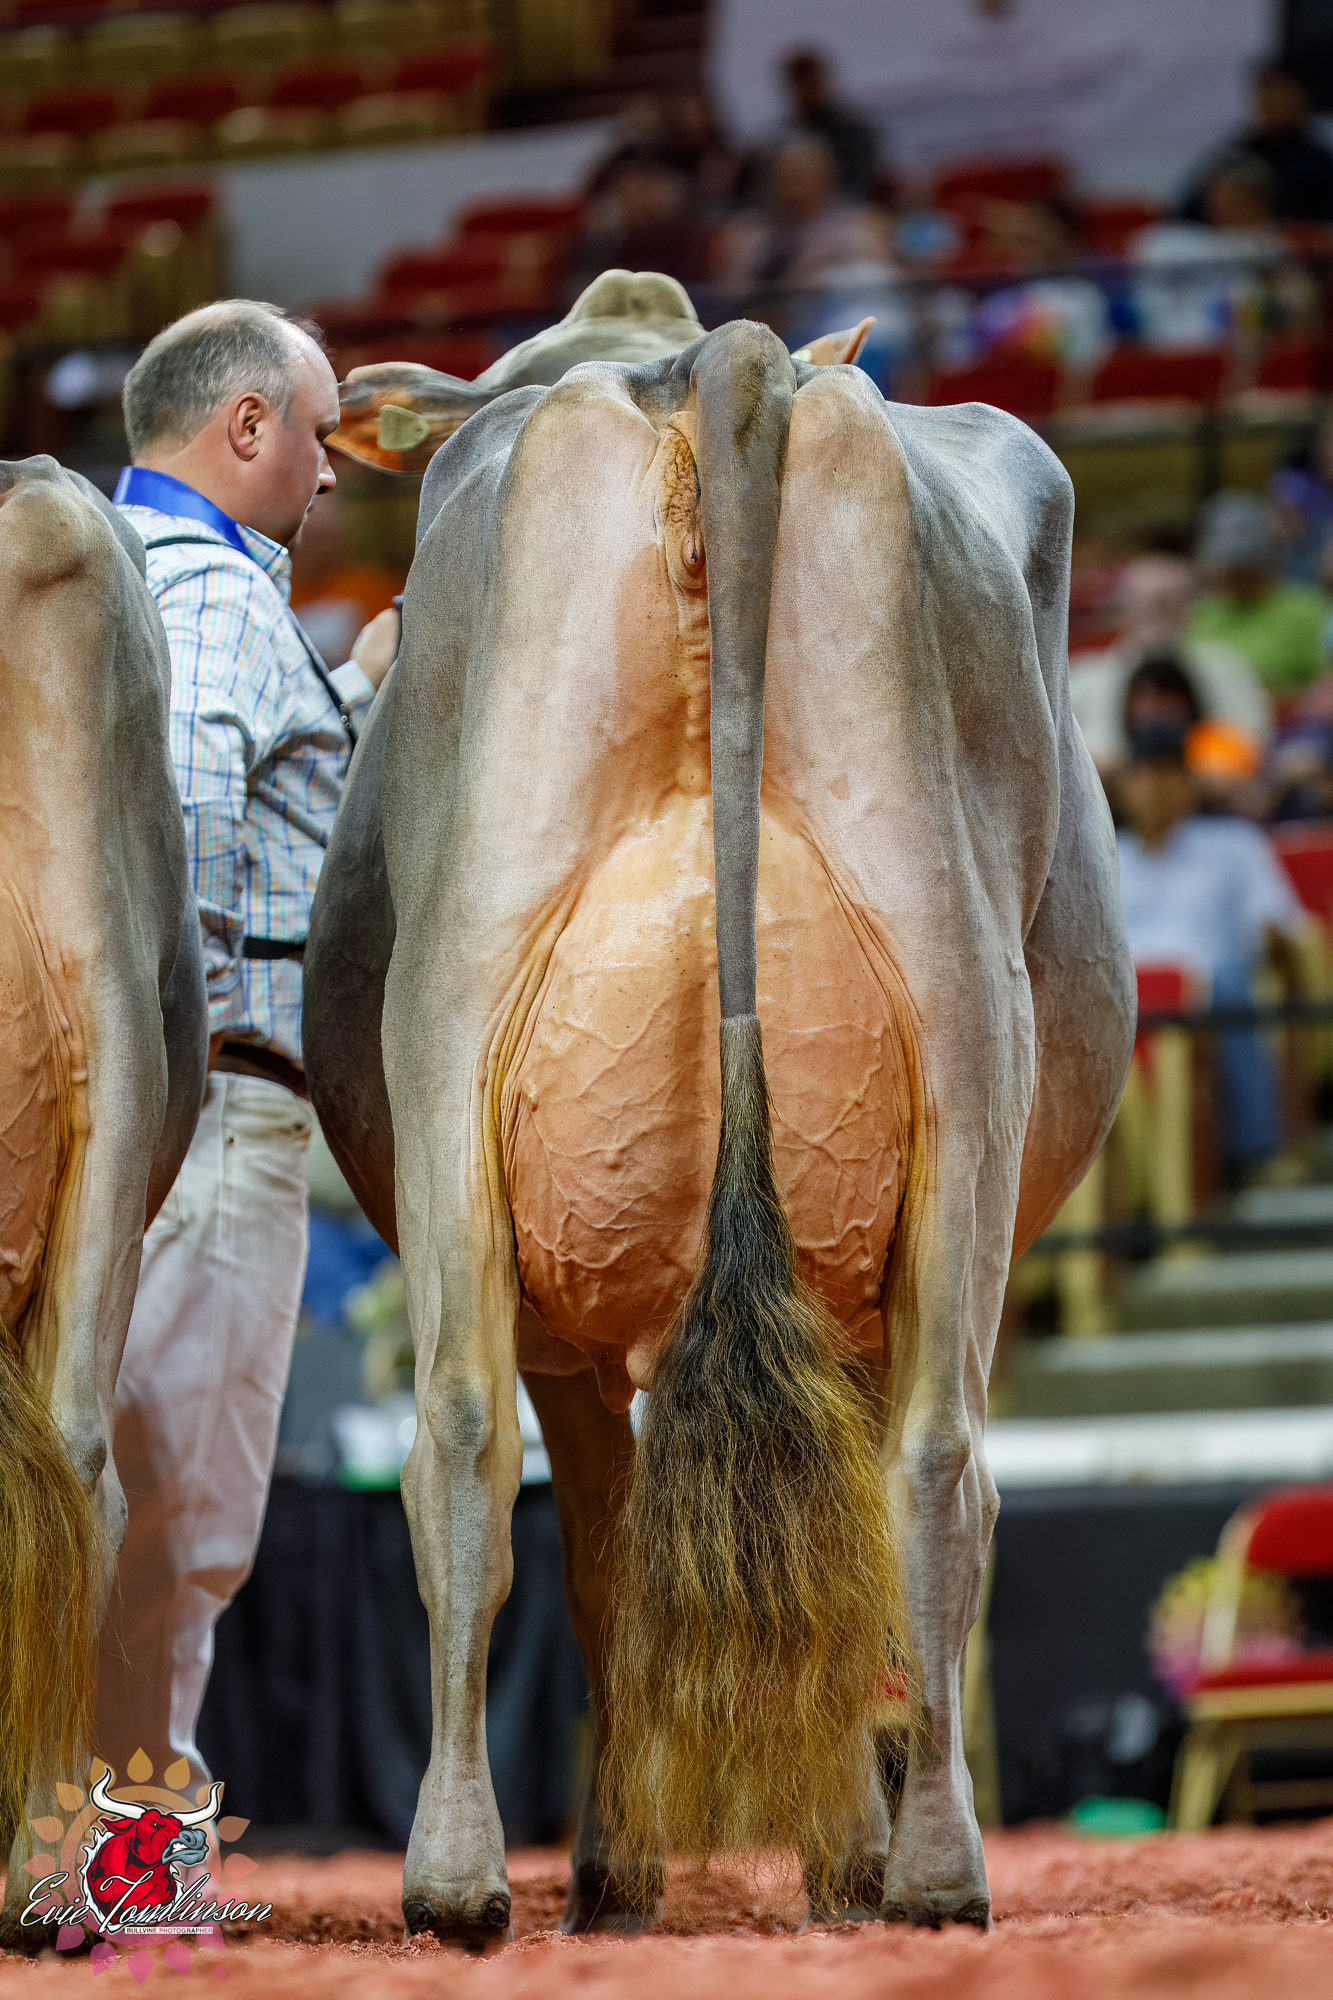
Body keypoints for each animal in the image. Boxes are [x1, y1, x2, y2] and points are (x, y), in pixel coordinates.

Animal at [304, 271, 1135, 1945]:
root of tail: (710, 366)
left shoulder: (564, 1336)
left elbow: (601, 1546)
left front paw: (637, 1864)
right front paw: (836, 1848)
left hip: (452, 1042)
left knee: (462, 1441)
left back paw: (466, 1877)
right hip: (966, 1046)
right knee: (933, 1467)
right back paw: (929, 1871)